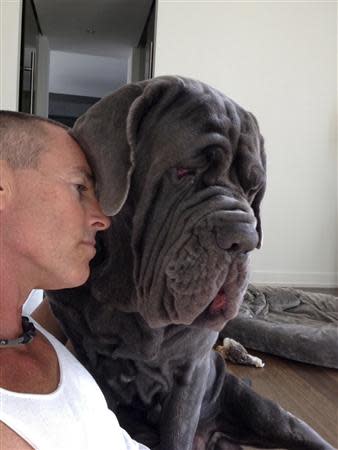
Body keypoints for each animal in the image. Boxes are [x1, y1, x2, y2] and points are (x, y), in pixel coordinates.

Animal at [47, 75, 332, 448]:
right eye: (185, 171)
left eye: (254, 189)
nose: (244, 237)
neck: (130, 303)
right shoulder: (88, 356)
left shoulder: (191, 371)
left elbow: (176, 432)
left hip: (264, 412)